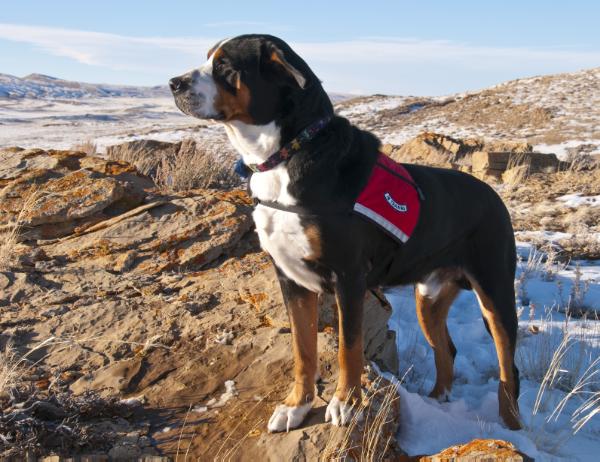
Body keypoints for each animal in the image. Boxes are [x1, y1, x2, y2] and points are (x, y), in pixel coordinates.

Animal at [169, 33, 520, 434]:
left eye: (225, 66)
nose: (173, 83)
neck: (287, 155)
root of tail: (493, 195)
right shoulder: (291, 280)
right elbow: (303, 349)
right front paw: (296, 406)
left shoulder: (348, 277)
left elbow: (348, 348)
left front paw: (347, 403)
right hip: (428, 299)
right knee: (446, 349)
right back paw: (437, 402)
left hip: (495, 293)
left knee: (508, 366)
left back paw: (512, 427)